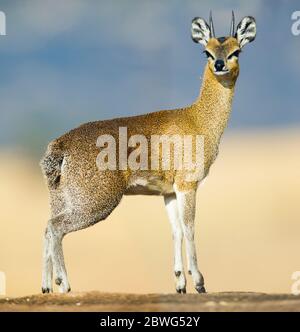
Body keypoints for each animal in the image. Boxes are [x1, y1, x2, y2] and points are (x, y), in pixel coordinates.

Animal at [39, 12, 255, 294]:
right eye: (206, 52)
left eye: (236, 50)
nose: (219, 65)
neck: (198, 119)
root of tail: (61, 144)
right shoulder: (187, 184)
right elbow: (189, 227)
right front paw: (199, 282)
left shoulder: (168, 192)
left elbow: (175, 230)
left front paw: (180, 282)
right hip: (96, 202)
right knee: (56, 228)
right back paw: (63, 284)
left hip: (62, 200)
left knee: (46, 227)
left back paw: (46, 286)